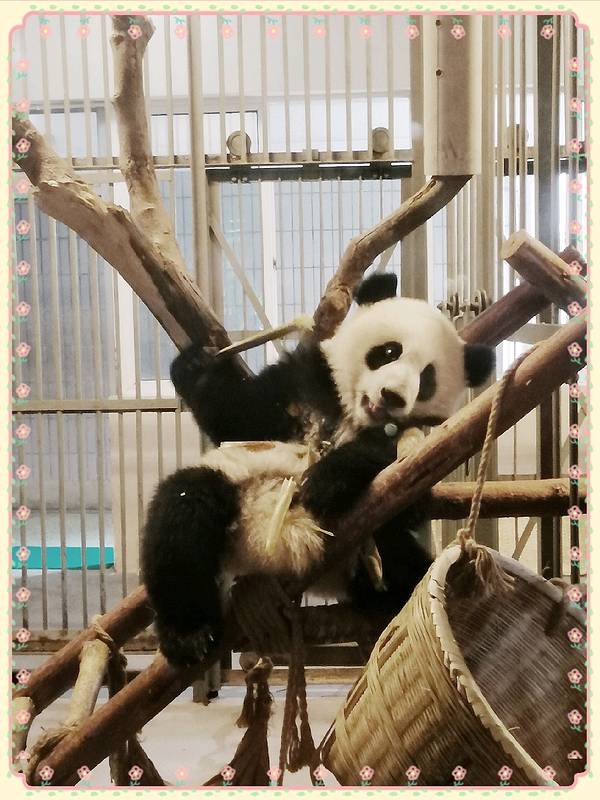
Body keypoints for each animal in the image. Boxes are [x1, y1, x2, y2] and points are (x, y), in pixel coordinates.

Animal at [142, 273, 494, 667]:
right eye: (389, 352)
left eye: (428, 378)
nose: (392, 397)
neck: (351, 415)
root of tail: (270, 554)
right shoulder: (304, 381)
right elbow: (242, 420)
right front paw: (195, 366)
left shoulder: (426, 438)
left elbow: (408, 492)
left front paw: (327, 480)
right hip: (235, 497)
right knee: (185, 511)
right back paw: (186, 636)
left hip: (368, 553)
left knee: (405, 566)